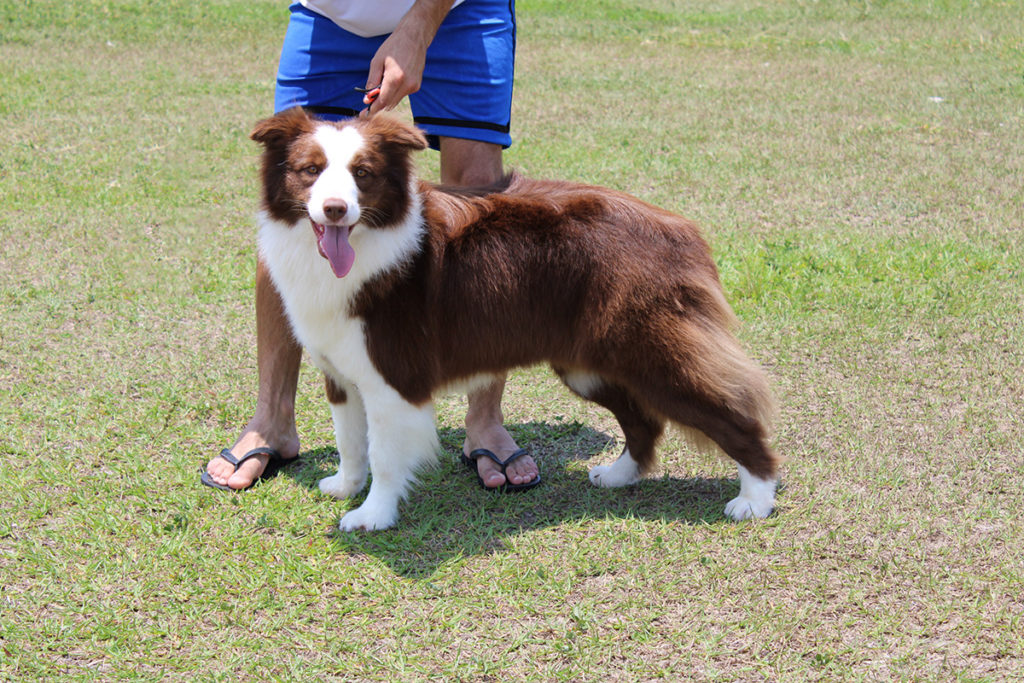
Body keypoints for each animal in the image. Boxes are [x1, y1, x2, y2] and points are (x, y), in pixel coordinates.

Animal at [251, 109, 778, 532]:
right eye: (310, 170)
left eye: (363, 173)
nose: (336, 209)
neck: (366, 243)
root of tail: (683, 229)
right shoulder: (340, 370)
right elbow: (349, 440)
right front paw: (345, 486)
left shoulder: (393, 377)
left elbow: (383, 454)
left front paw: (372, 517)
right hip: (588, 365)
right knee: (644, 421)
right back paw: (617, 475)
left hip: (654, 354)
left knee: (731, 412)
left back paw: (755, 498)